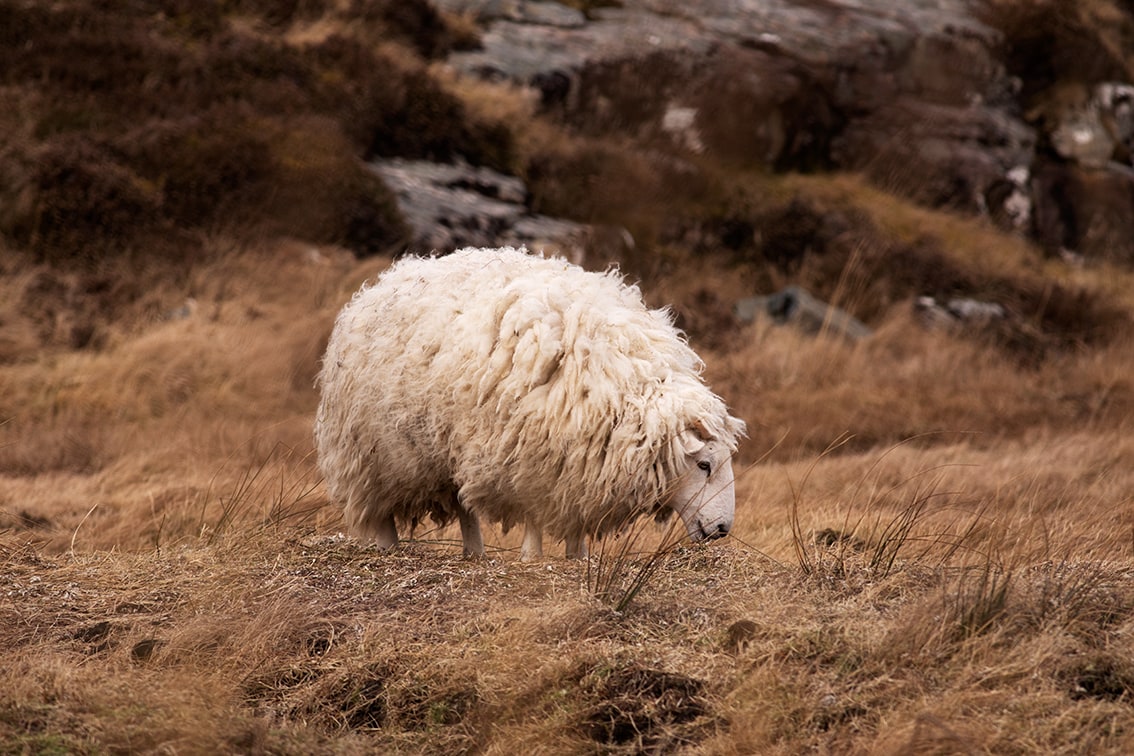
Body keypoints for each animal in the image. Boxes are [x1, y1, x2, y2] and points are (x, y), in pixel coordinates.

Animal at [315, 245, 748, 559]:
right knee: (378, 507)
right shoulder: (531, 454)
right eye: (704, 465)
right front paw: (531, 555)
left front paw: (578, 555)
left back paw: (475, 553)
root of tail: (388, 277)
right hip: (370, 453)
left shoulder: (576, 461)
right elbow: (536, 515)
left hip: (449, 446)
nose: (723, 529)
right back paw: (388, 548)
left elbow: (574, 518)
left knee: (464, 506)